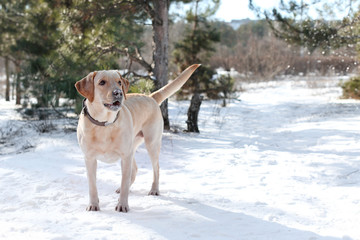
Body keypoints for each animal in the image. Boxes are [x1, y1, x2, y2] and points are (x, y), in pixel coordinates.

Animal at [75, 63, 201, 212]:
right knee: (134, 170)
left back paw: (154, 190)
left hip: (151, 144)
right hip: (132, 148)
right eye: (102, 82)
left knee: (156, 169)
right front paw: (93, 205)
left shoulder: (125, 156)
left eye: (119, 82)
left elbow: (124, 182)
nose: (118, 93)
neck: (105, 124)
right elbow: (92, 186)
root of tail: (150, 96)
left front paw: (122, 205)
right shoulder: (89, 159)